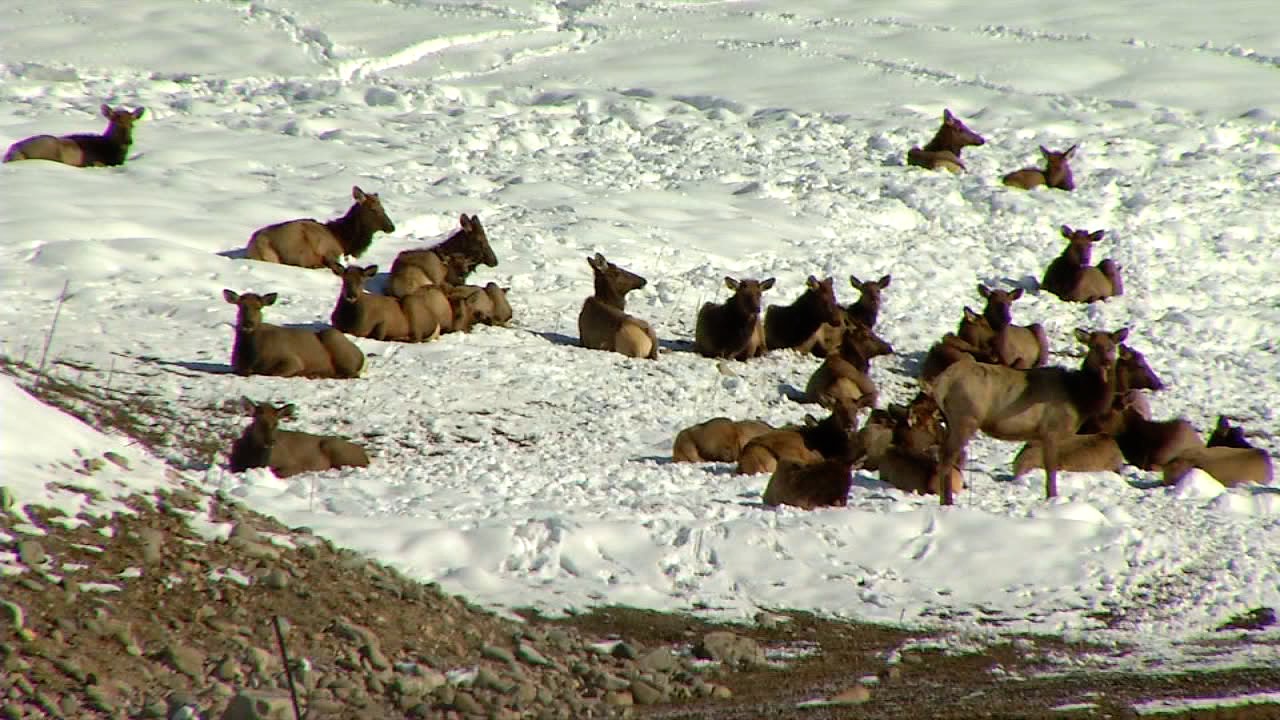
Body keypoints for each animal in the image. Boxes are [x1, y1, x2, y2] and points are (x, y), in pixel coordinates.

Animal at [223, 290, 364, 379]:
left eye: (259, 307)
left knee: (352, 374)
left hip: (333, 337)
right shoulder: (238, 367)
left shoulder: (292, 360)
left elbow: (273, 373)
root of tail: (361, 356)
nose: (248, 324)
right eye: (241, 306)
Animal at [229, 398, 369, 478]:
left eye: (276, 423)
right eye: (258, 421)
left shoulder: (293, 464)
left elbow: (278, 472)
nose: (271, 441)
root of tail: (365, 454)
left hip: (332, 446)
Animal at [928, 327, 1129, 505]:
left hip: (951, 420)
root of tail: (940, 383)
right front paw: (1052, 499)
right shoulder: (1051, 431)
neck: (1080, 397)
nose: (1107, 362)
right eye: (1093, 346)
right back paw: (947, 503)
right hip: (965, 418)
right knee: (946, 458)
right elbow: (1051, 470)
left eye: (1112, 346)